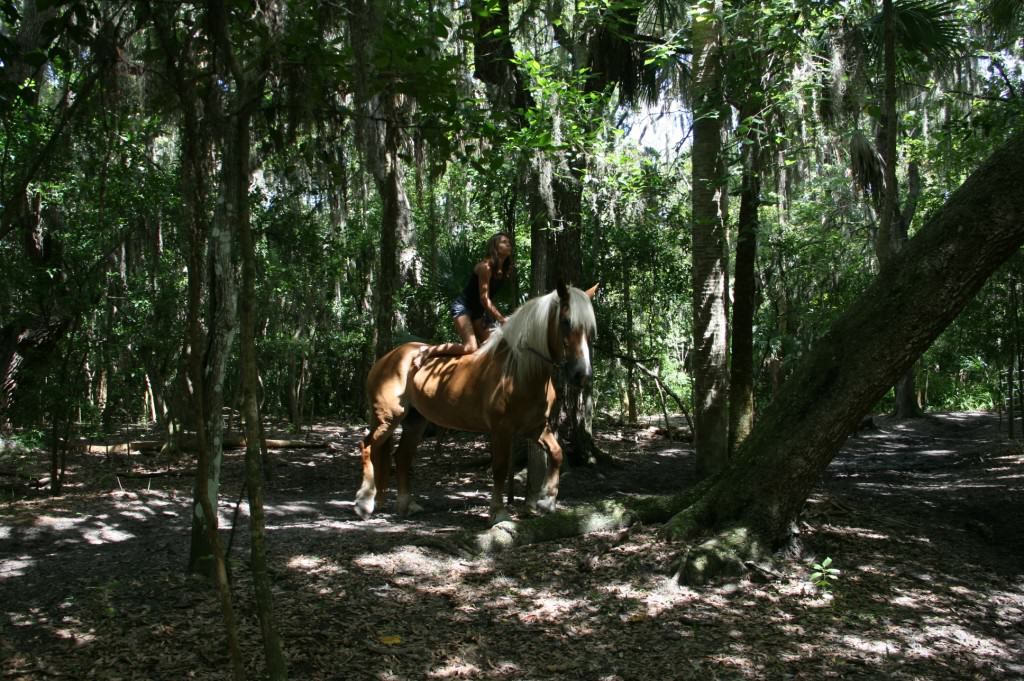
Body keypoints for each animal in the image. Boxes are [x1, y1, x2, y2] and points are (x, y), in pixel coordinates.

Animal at [356, 280, 598, 520]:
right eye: (566, 322)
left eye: (590, 330)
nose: (582, 374)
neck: (521, 371)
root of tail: (386, 359)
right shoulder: (501, 429)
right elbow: (500, 467)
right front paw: (498, 511)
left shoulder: (535, 427)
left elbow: (556, 454)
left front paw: (546, 502)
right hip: (388, 418)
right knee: (368, 446)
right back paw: (365, 502)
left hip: (415, 421)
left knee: (402, 457)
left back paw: (406, 504)